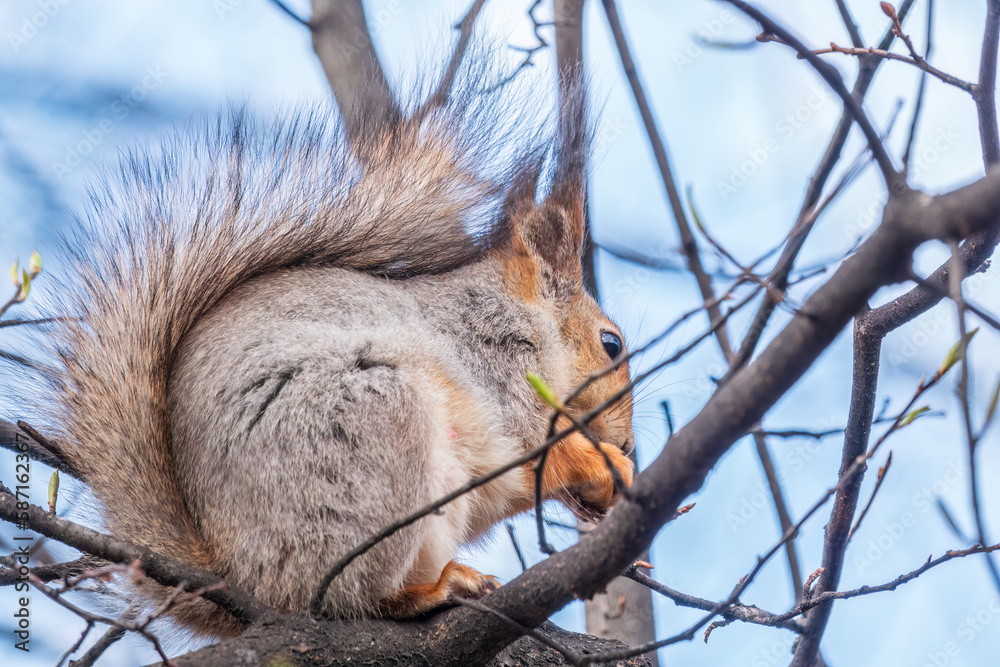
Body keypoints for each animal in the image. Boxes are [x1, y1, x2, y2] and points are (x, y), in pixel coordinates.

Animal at [31, 72, 635, 638]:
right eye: (611, 344)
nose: (629, 443)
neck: (521, 327)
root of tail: (244, 578)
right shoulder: (499, 379)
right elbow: (533, 453)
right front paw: (603, 467)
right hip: (371, 434)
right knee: (356, 597)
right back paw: (432, 590)